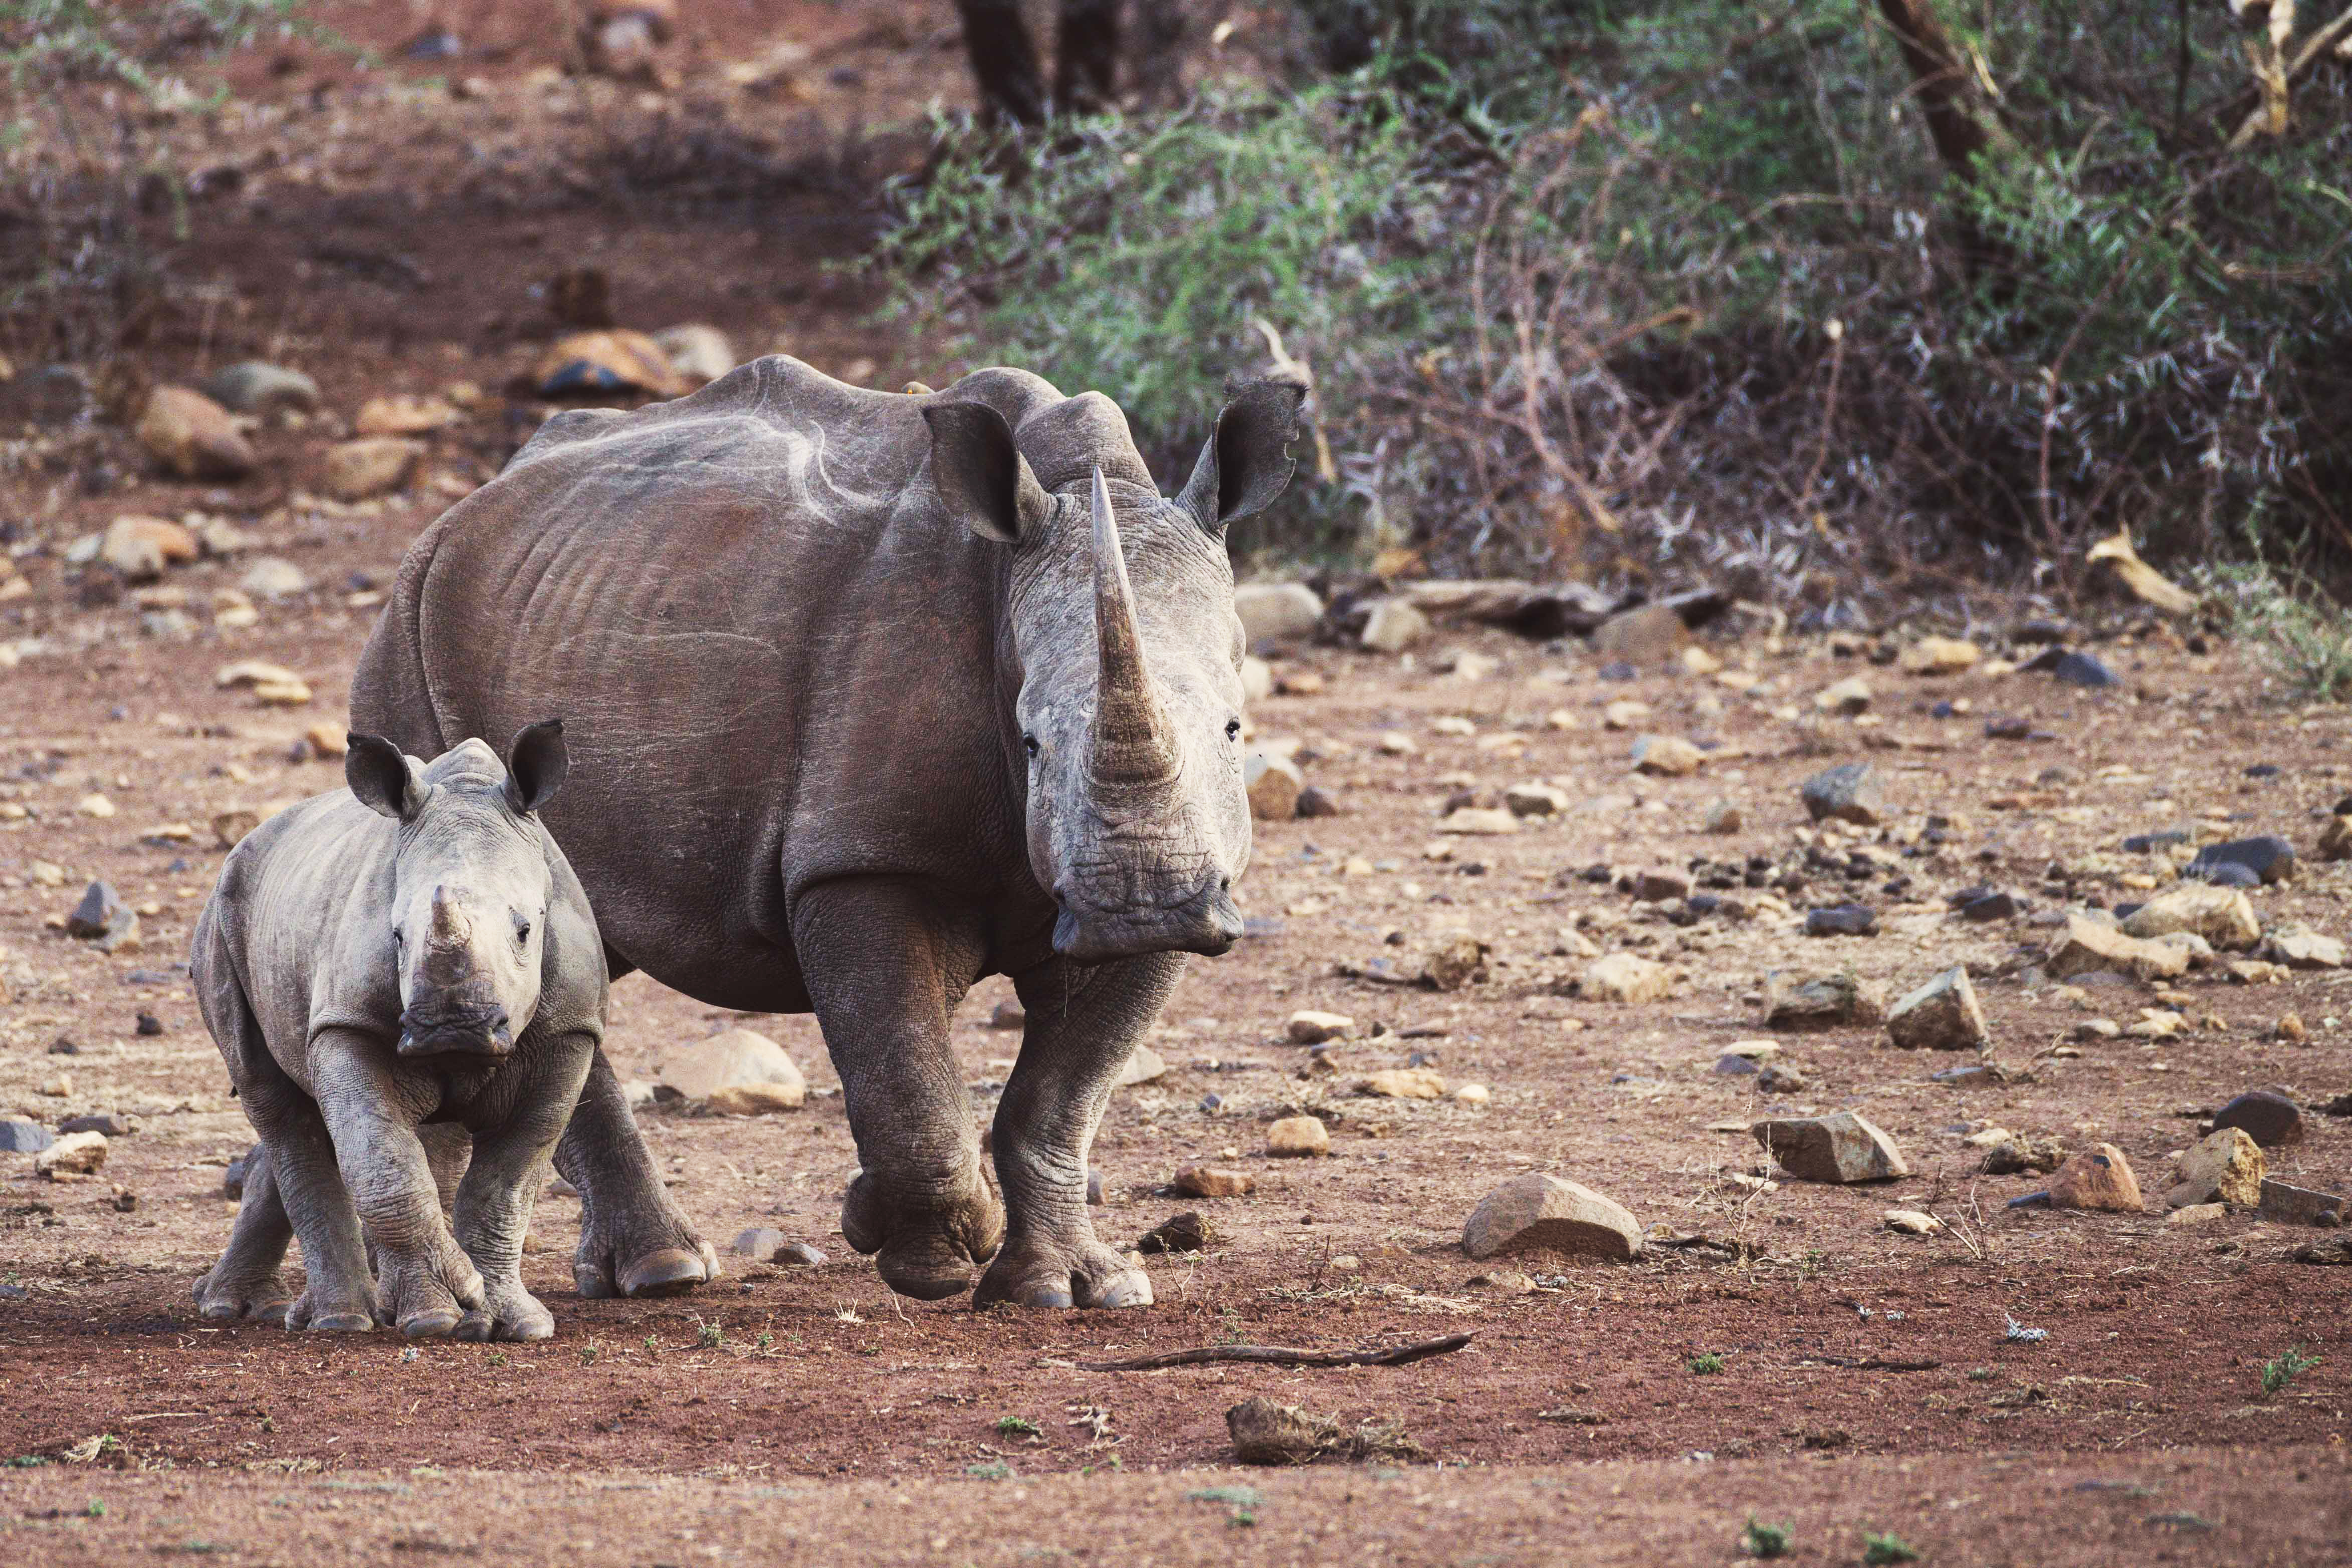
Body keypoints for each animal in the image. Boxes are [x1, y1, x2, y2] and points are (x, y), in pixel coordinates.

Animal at [191, 724, 611, 1339]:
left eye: (525, 931)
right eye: (395, 936)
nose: (450, 1029)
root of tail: (251, 839)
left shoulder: (570, 1031)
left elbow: (507, 1183)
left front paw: (512, 1321)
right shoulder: (349, 1023)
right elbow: (385, 1165)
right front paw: (438, 1315)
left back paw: (286, 1310)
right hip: (223, 914)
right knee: (276, 1102)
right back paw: (334, 1319)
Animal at [351, 358, 1301, 1308]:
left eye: (1233, 729)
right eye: (1031, 742)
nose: (1140, 904)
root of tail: (464, 509)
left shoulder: (1180, 885)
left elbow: (1061, 1096)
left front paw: (1070, 1287)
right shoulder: (858, 861)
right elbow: (904, 1074)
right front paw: (924, 1247)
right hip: (406, 639)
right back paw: (662, 1272)